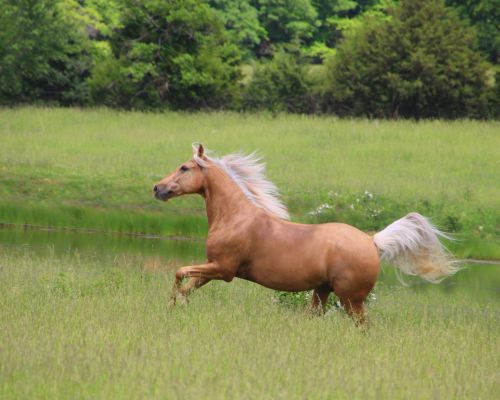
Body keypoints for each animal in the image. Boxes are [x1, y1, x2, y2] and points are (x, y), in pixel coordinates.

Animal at [153, 144, 458, 322]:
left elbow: (179, 272)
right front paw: (175, 307)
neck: (235, 217)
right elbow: (187, 287)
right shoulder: (212, 268)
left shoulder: (223, 269)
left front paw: (170, 306)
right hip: (322, 291)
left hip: (351, 299)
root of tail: (372, 241)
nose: (157, 188)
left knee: (361, 325)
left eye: (184, 167)